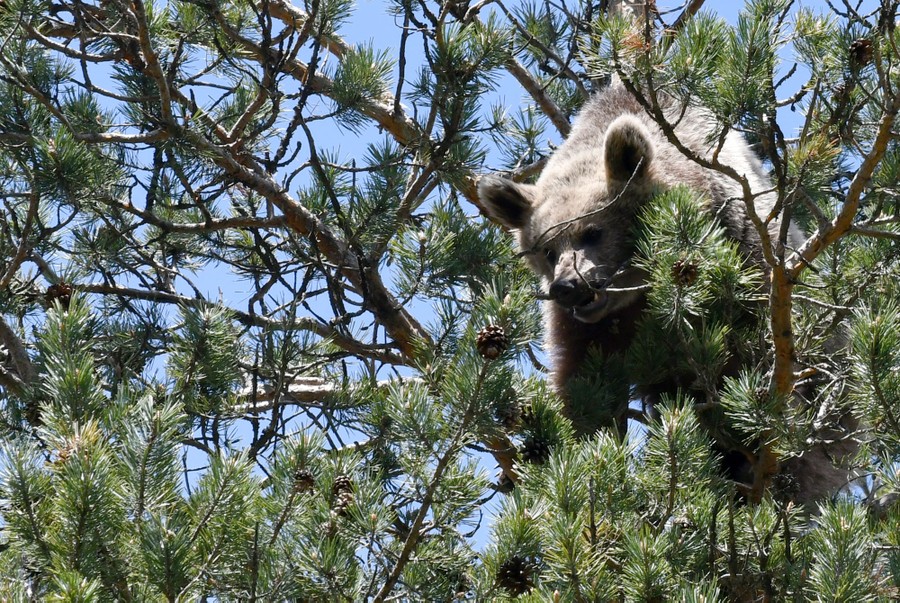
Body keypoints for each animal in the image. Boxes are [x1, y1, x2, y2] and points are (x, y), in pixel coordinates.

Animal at [478, 83, 855, 503]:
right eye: (546, 249)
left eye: (592, 231)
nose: (568, 287)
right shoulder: (587, 330)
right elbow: (586, 387)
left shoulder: (741, 258)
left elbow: (752, 362)